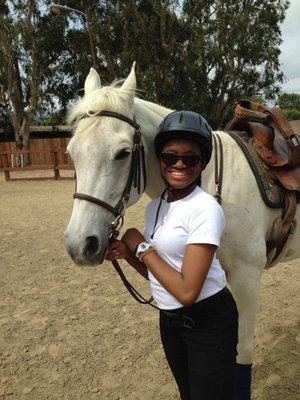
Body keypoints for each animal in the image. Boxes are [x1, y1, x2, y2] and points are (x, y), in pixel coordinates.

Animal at [64, 64, 298, 398]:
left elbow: (241, 354)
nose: (79, 245)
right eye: (71, 153)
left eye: (123, 153)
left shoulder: (247, 278)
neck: (212, 182)